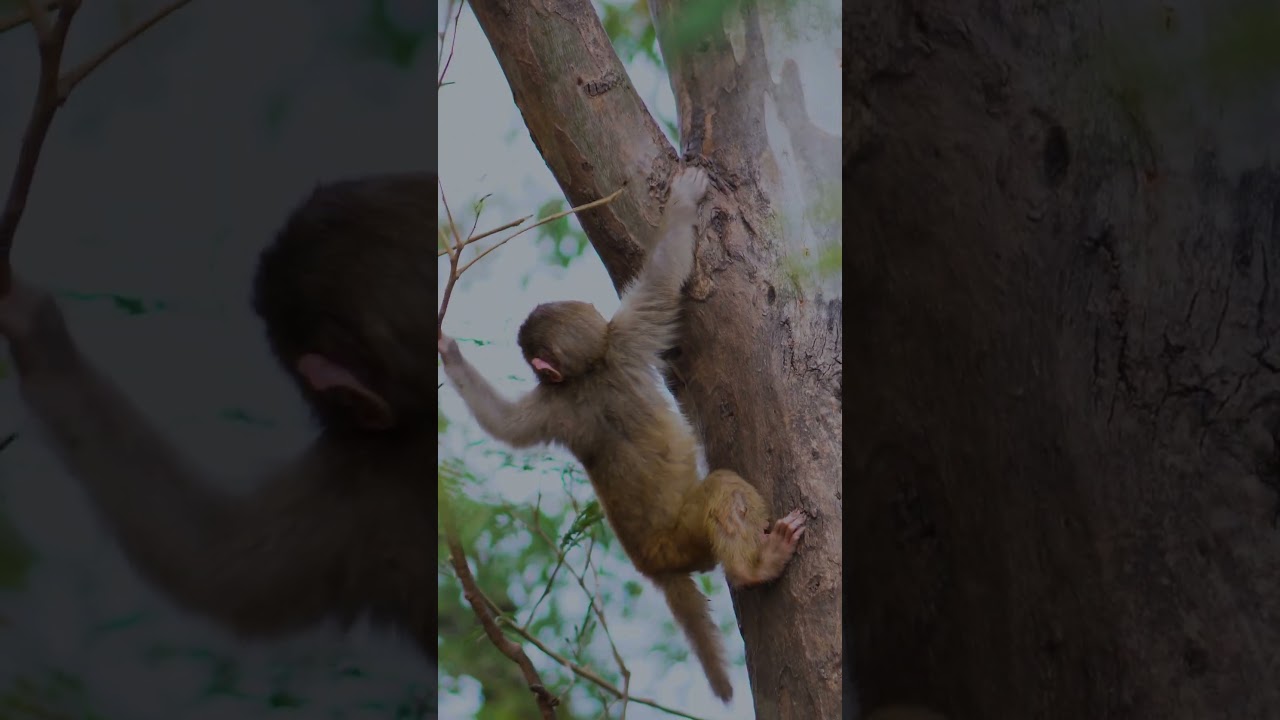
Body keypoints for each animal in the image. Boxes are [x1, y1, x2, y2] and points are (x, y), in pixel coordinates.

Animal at [437, 165, 807, 703]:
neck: (587, 372)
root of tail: (653, 565)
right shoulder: (628, 336)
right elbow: (666, 274)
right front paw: (683, 203)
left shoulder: (555, 404)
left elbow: (504, 425)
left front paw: (448, 352)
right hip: (685, 537)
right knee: (724, 489)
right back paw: (755, 567)